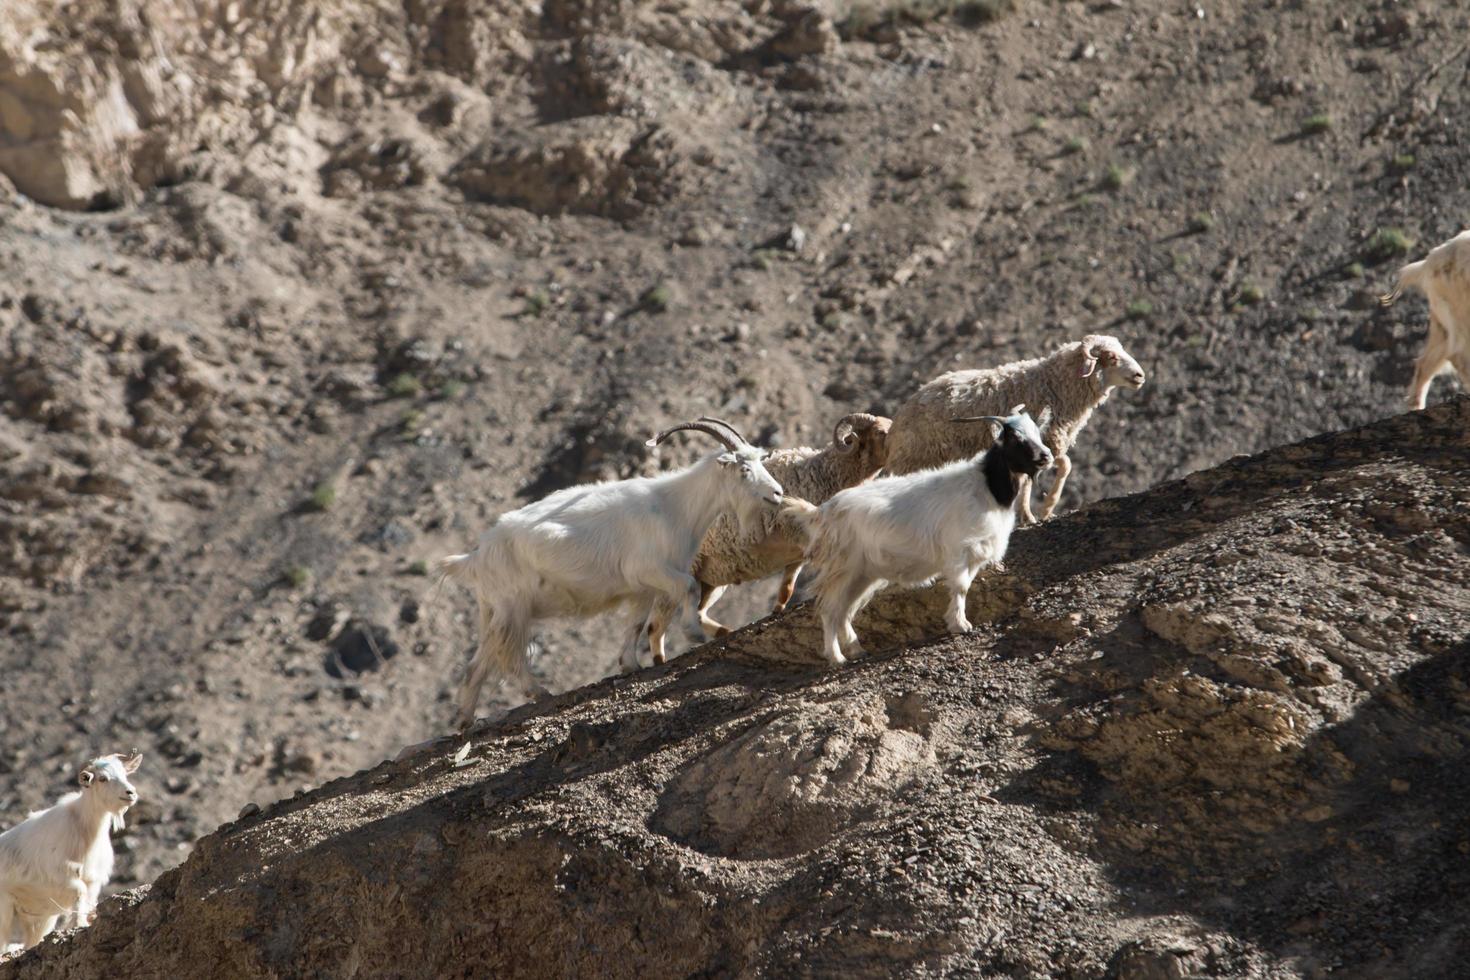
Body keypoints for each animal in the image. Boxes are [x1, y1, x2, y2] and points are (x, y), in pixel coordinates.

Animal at [0, 758, 140, 952]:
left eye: (125, 774)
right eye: (102, 778)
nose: (130, 792)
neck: (84, 829)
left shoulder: (92, 882)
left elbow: (86, 899)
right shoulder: (61, 878)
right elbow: (79, 892)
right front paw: (79, 923)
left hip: (39, 920)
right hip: (5, 911)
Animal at [690, 411, 887, 637]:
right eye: (879, 432)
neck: (824, 472)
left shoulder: (798, 551)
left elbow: (787, 587)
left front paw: (777, 610)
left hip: (713, 578)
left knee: (699, 613)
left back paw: (724, 631)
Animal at [787, 405, 1052, 667]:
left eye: (1037, 431)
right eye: (1015, 438)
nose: (1046, 456)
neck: (987, 487)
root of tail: (823, 511)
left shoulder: (977, 553)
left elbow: (965, 587)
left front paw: (956, 622)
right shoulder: (959, 551)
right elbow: (960, 588)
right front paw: (960, 625)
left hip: (863, 574)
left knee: (844, 611)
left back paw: (856, 650)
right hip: (843, 568)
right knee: (830, 610)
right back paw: (837, 657)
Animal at [876, 334, 1140, 525]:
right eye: (1110, 356)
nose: (1140, 375)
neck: (1054, 385)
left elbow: (1052, 471)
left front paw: (1035, 513)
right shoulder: (1040, 441)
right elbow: (1059, 467)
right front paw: (1042, 509)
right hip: (913, 459)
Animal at [1375, 230, 1470, 411]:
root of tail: (1427, 263)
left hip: (1442, 324)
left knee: (1427, 362)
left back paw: (1416, 405)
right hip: (1460, 312)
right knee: (1457, 355)